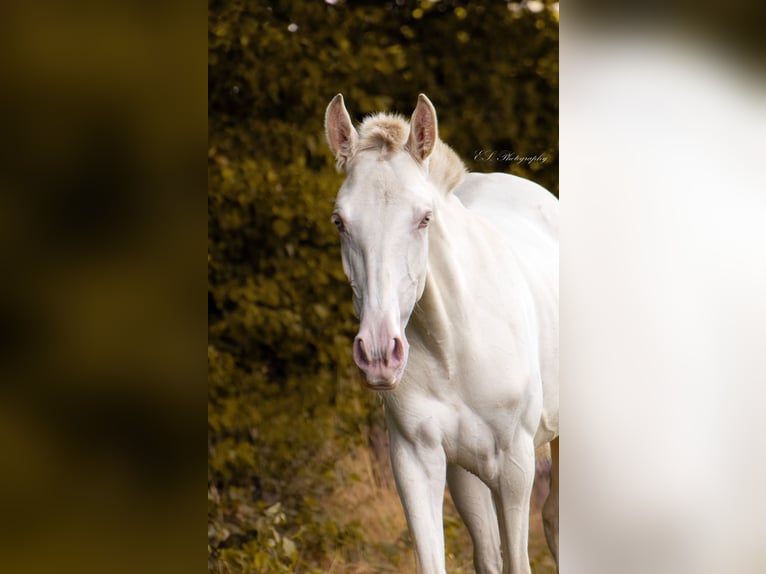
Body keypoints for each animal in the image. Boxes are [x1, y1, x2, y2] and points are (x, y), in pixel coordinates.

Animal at [328, 92, 560, 572]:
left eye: (424, 219)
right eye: (340, 221)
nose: (379, 353)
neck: (454, 347)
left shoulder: (515, 467)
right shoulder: (416, 462)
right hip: (465, 473)